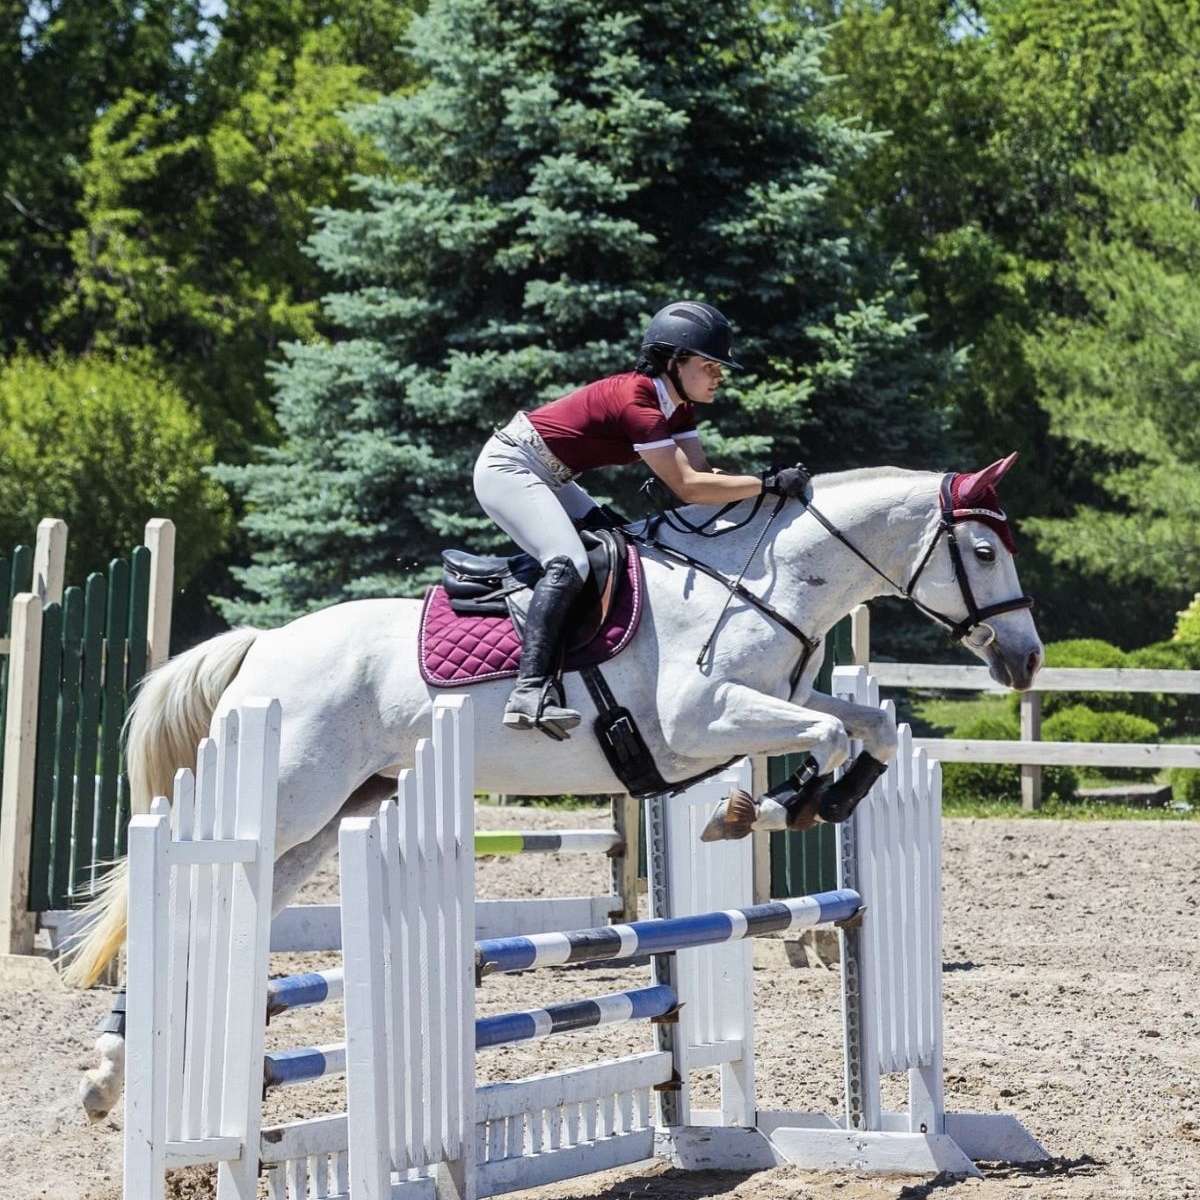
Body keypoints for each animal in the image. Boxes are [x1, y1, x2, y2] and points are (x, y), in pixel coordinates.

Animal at [67, 456, 1042, 1119]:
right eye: (982, 549)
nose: (1025, 660)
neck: (761, 583)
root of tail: (264, 644)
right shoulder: (700, 722)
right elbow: (832, 734)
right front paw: (755, 809)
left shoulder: (772, 703)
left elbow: (864, 727)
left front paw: (823, 801)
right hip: (290, 795)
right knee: (182, 897)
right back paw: (126, 1070)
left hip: (334, 813)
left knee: (234, 907)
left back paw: (122, 1070)